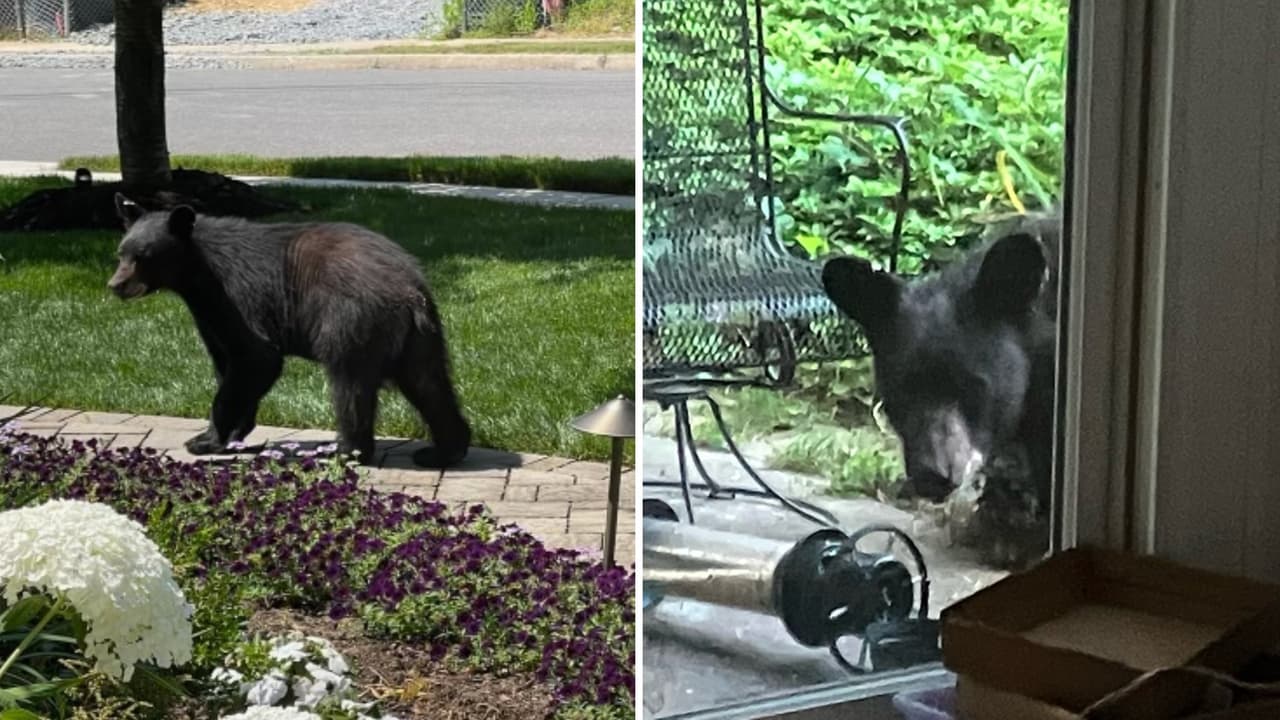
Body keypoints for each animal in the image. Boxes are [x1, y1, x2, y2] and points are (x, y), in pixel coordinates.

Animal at [106, 194, 471, 469]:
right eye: (121, 252)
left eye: (143, 256)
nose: (116, 285)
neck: (197, 274)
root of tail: (411, 294)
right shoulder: (210, 314)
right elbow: (229, 364)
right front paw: (234, 433)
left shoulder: (237, 297)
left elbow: (257, 357)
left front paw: (205, 439)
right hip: (418, 339)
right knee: (429, 385)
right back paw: (443, 451)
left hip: (351, 323)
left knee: (350, 387)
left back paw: (345, 452)